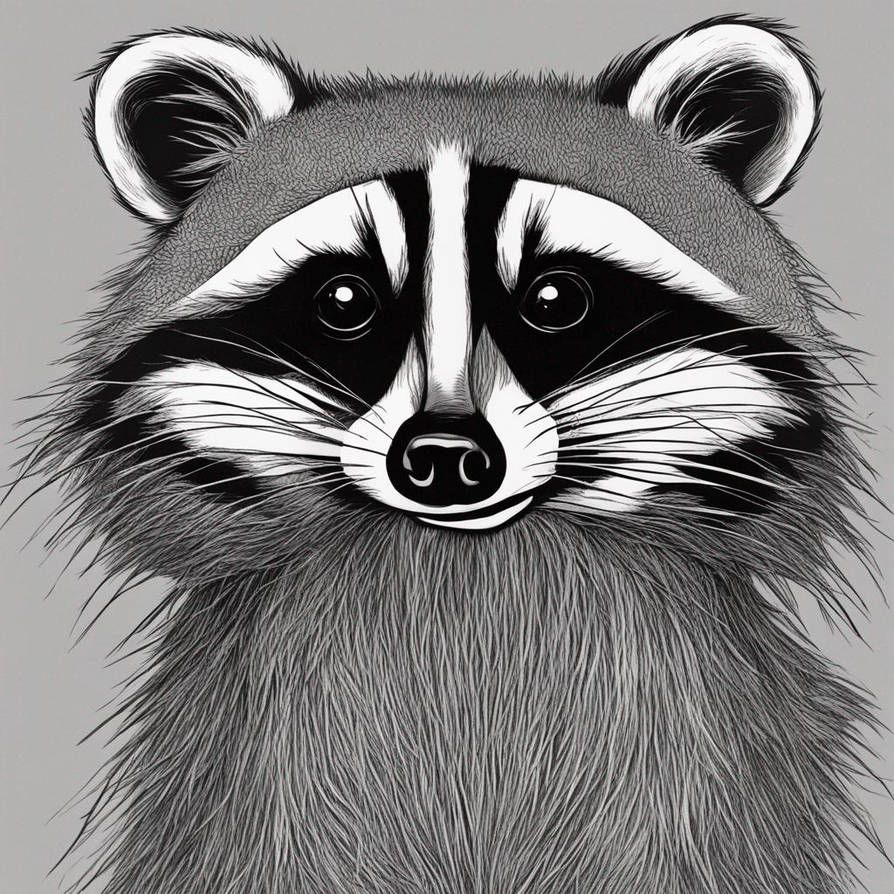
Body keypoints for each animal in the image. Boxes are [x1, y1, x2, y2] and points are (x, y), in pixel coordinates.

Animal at [21, 14, 882, 894]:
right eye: (344, 300)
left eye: (556, 298)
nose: (443, 456)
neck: (466, 555)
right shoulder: (248, 770)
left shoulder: (700, 760)